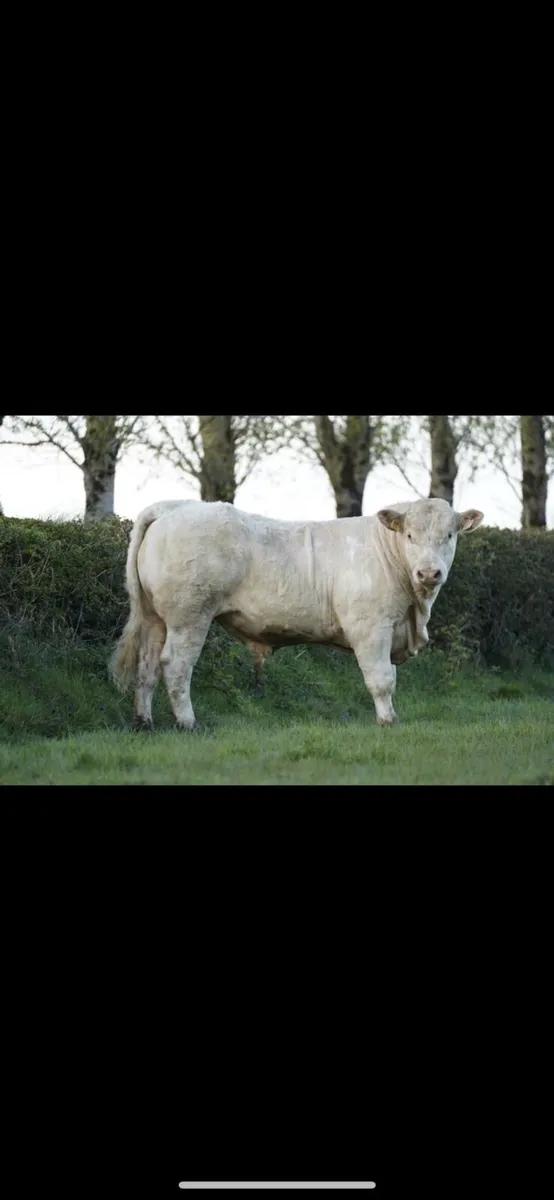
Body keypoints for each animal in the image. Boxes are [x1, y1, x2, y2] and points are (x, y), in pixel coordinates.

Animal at [110, 496, 484, 730]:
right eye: (409, 535)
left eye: (449, 535)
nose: (429, 573)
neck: (415, 608)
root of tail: (174, 506)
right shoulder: (371, 627)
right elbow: (381, 680)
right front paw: (388, 721)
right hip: (189, 615)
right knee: (175, 665)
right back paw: (187, 722)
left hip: (156, 619)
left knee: (146, 667)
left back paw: (143, 722)